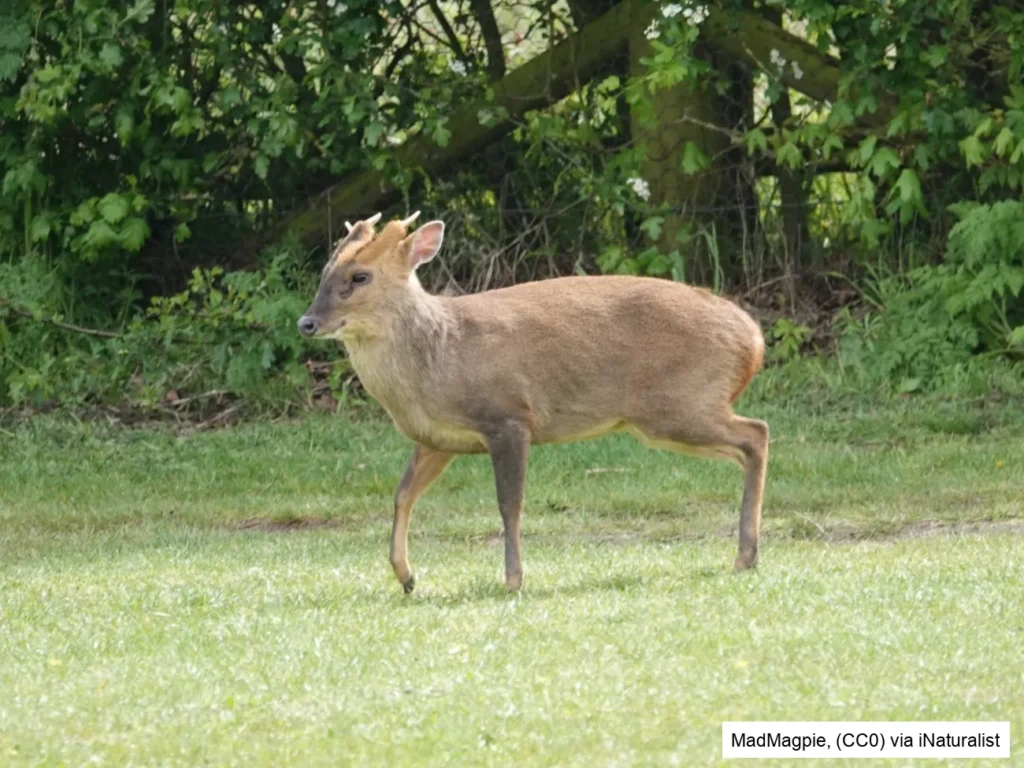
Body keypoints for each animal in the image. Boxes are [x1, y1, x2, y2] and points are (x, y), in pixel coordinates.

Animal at [297, 212, 768, 593]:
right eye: (324, 272)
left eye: (360, 277)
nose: (307, 322)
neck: (439, 360)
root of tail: (754, 338)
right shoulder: (438, 439)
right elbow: (402, 495)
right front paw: (407, 577)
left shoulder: (508, 416)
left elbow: (510, 504)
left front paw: (512, 579)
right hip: (673, 413)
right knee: (747, 445)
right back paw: (746, 553)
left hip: (679, 402)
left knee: (758, 432)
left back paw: (745, 556)